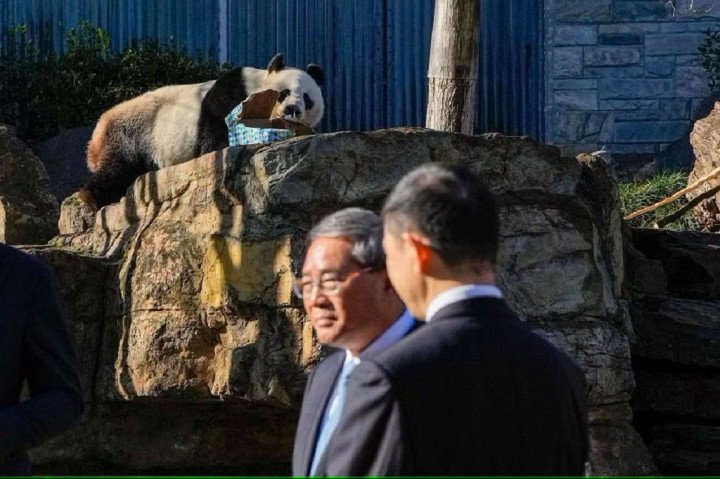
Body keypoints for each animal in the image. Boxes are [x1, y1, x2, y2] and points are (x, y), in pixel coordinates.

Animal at [79, 53, 324, 209]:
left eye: (307, 99)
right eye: (284, 93)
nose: (293, 109)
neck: (257, 86)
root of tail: (97, 133)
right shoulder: (231, 92)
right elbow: (215, 128)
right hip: (133, 131)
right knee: (118, 167)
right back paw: (91, 197)